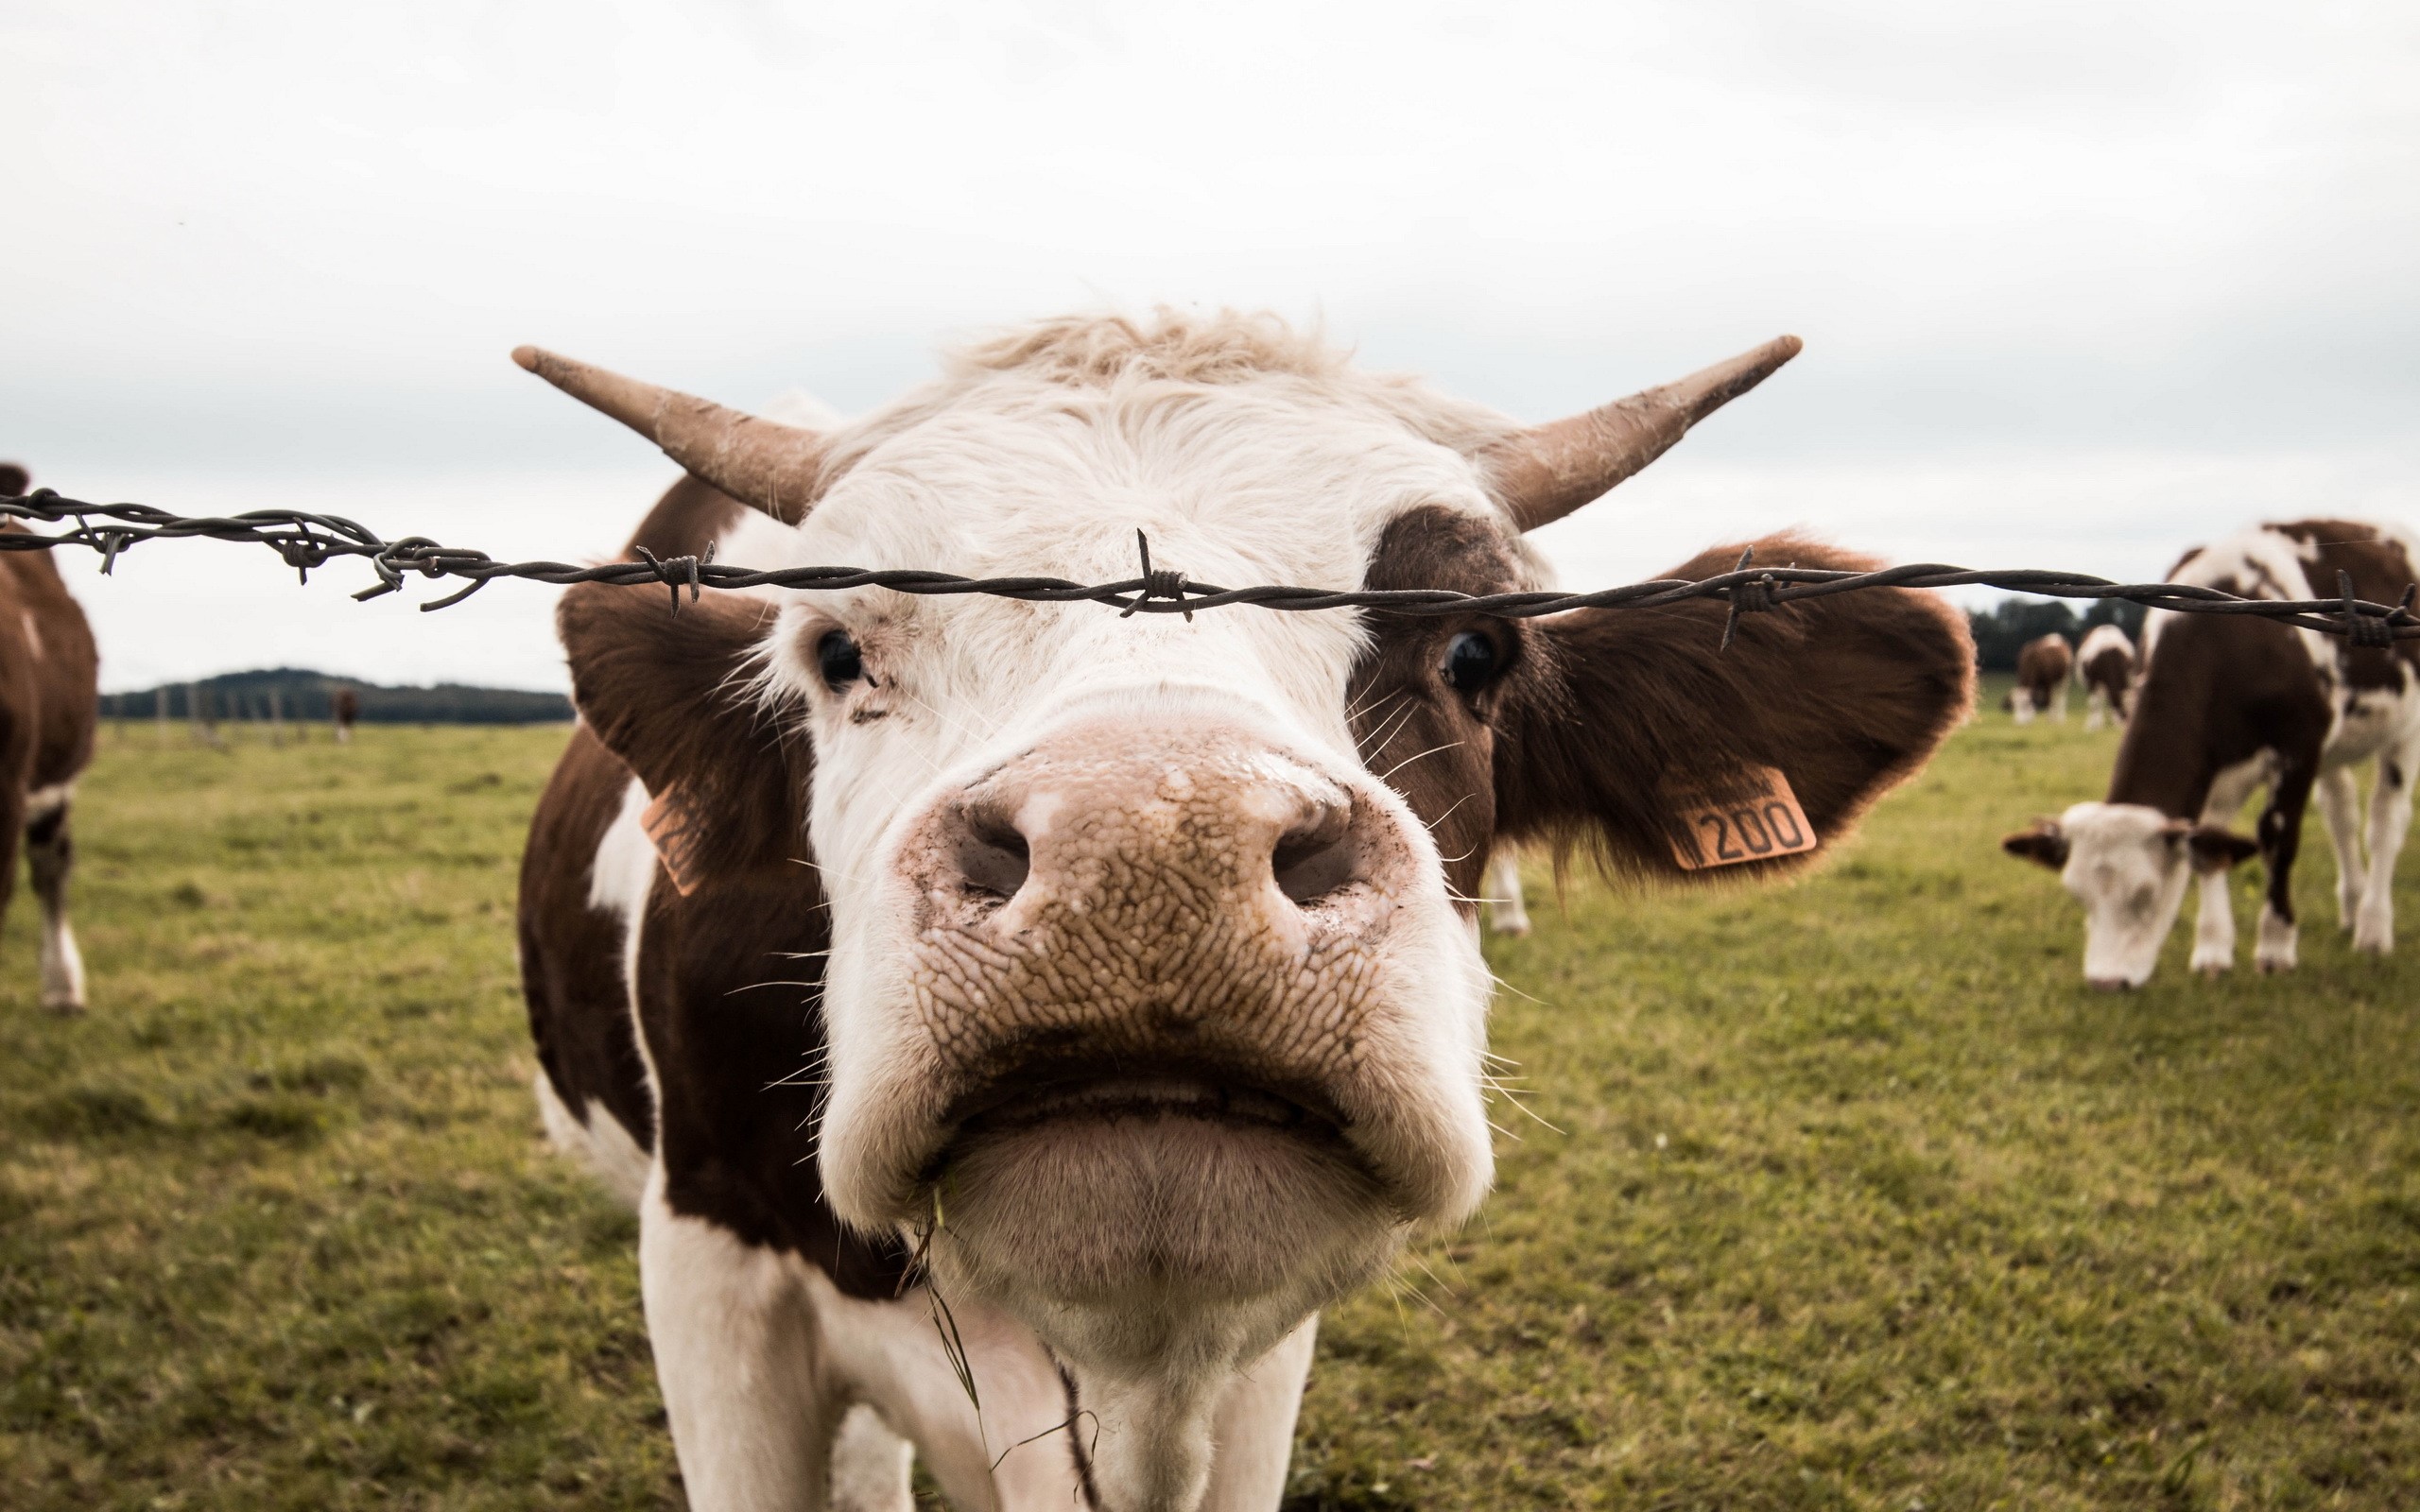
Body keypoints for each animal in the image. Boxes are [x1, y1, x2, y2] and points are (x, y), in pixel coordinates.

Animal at [2002, 519, 2419, 989]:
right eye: (2079, 896)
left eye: (2148, 893)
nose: (2106, 982)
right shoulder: (2218, 763)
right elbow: (2209, 847)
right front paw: (2213, 949)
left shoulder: (2300, 745)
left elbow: (2278, 840)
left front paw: (2276, 945)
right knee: (2341, 815)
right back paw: (2351, 906)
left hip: (2405, 731)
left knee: (2385, 822)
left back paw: (2372, 928)